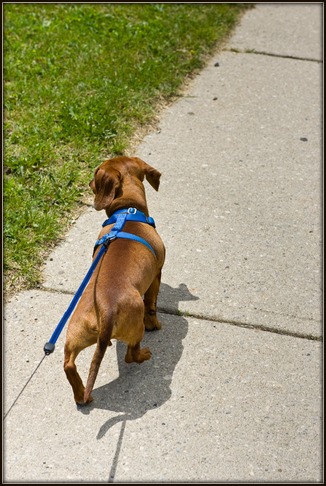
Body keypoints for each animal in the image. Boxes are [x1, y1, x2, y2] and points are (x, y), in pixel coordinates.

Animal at [63, 157, 166, 406]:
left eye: (95, 172)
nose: (88, 182)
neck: (126, 212)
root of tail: (107, 308)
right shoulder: (157, 275)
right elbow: (152, 304)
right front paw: (155, 324)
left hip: (77, 332)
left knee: (69, 363)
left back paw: (81, 395)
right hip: (135, 327)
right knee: (130, 355)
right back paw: (144, 354)